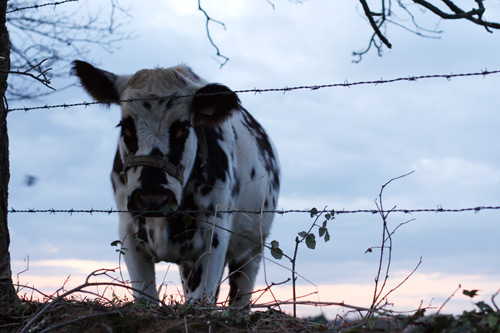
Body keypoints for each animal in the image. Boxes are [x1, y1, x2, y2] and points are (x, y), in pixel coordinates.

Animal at [71, 61, 282, 308]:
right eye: (125, 126)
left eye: (183, 127)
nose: (152, 198)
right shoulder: (129, 232)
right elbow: (146, 299)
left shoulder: (214, 234)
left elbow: (201, 302)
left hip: (252, 249)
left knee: (240, 298)